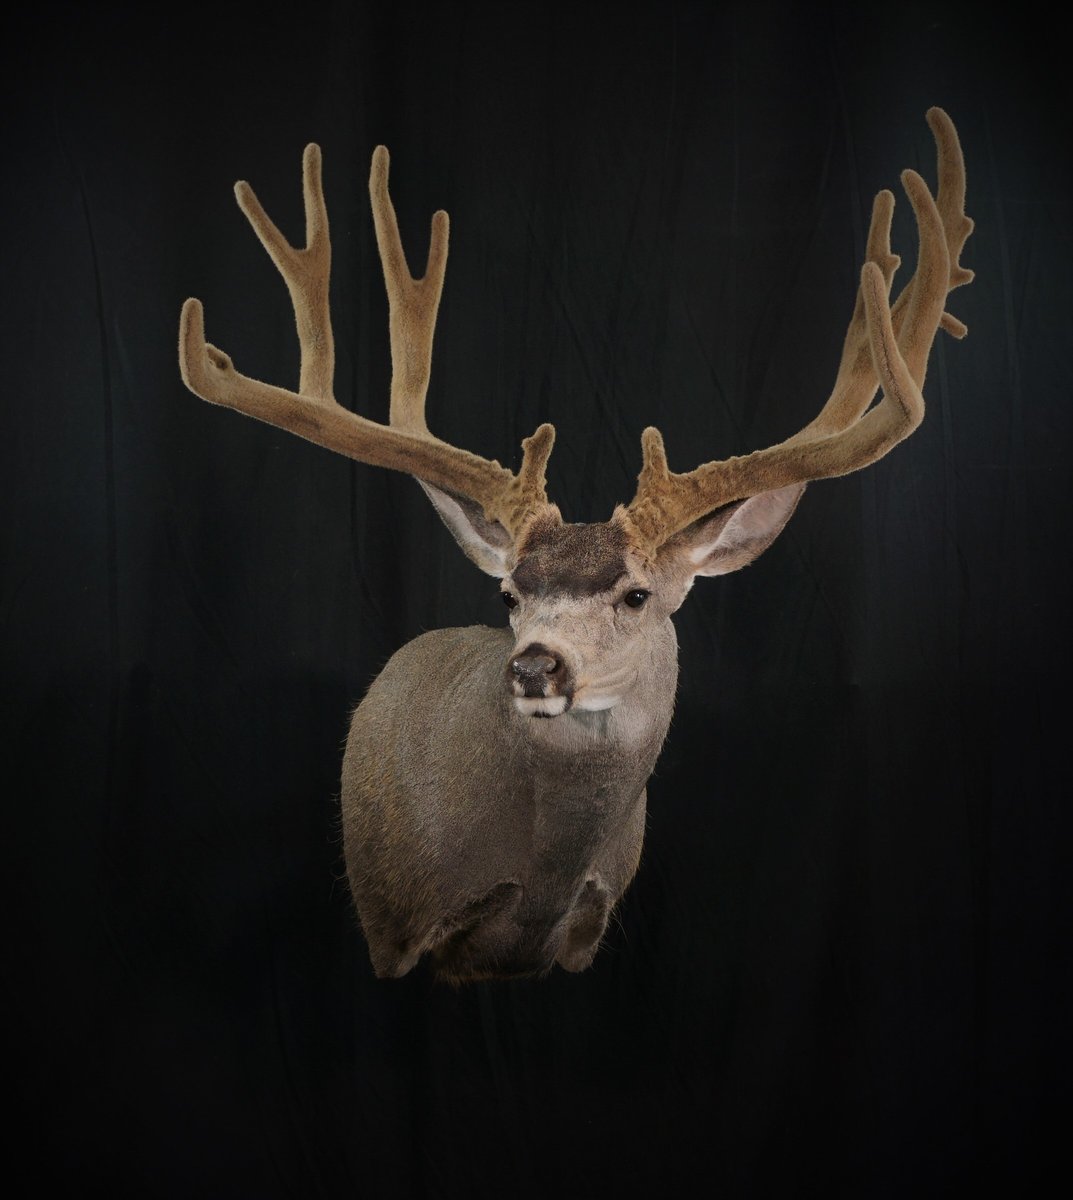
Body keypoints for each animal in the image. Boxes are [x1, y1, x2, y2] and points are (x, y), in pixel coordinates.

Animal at [179, 108, 973, 984]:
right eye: (508, 593)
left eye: (635, 594)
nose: (533, 665)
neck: (537, 881)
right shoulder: (395, 925)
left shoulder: (585, 930)